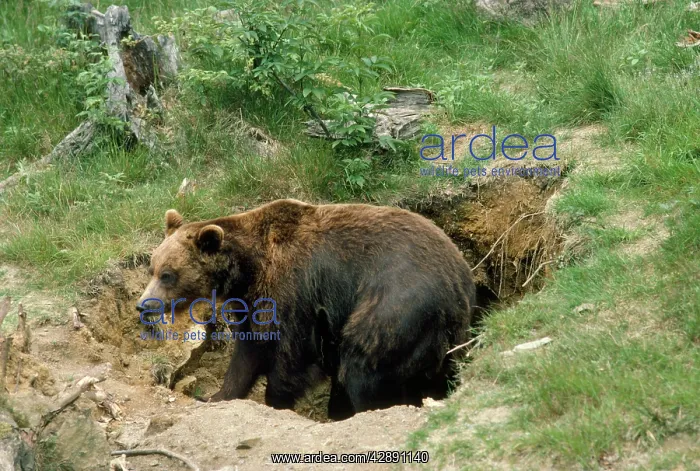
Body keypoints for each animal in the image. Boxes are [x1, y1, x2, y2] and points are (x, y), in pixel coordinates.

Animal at [136, 199, 476, 420]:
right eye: (152, 268)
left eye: (168, 274)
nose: (143, 305)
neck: (247, 270)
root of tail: (461, 277)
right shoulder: (254, 302)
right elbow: (248, 351)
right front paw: (217, 395)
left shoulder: (295, 291)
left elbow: (291, 355)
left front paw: (276, 400)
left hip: (396, 305)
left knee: (362, 359)